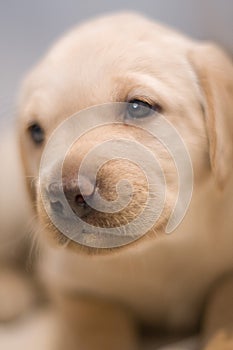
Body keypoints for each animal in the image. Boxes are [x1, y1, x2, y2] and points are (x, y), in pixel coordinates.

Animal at [17, 12, 233, 350]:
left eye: (138, 106)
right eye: (36, 132)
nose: (66, 193)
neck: (160, 250)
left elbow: (224, 304)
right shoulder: (72, 287)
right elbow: (98, 322)